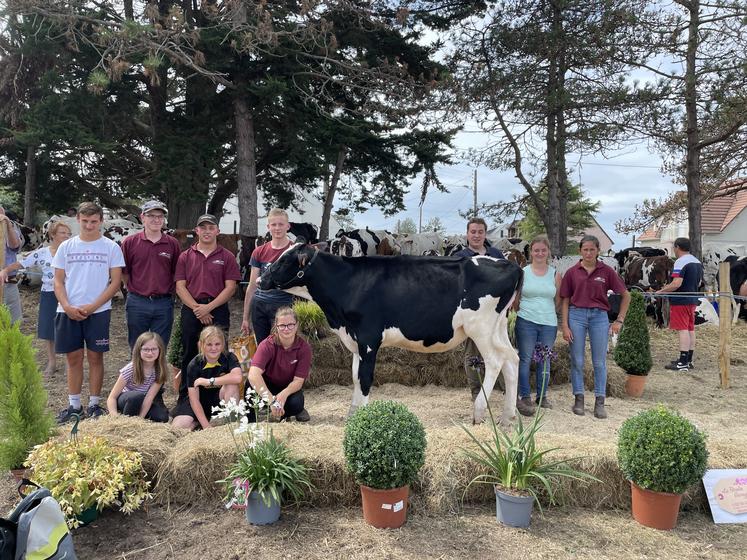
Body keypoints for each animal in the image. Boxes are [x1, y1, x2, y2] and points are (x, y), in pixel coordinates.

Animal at [260, 245, 524, 424]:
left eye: (284, 260)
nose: (261, 279)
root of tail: (511, 265)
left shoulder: (368, 338)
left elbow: (365, 378)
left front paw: (361, 417)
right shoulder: (355, 340)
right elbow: (355, 377)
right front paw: (353, 414)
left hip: (480, 327)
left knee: (495, 361)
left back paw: (479, 412)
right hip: (498, 327)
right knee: (512, 359)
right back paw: (507, 417)